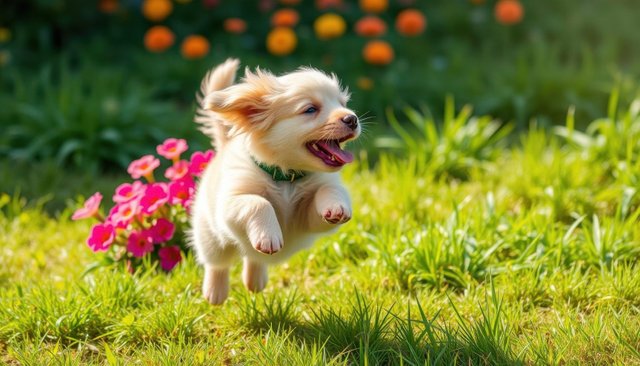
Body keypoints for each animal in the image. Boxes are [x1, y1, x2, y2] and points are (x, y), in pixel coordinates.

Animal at [189, 58, 360, 304]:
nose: (352, 118)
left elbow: (327, 189)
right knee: (217, 263)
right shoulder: (229, 204)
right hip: (209, 236)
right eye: (310, 109)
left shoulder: (306, 220)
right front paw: (269, 236)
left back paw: (254, 282)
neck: (287, 177)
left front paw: (336, 206)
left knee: (253, 258)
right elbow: (259, 202)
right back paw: (215, 293)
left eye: (342, 103)